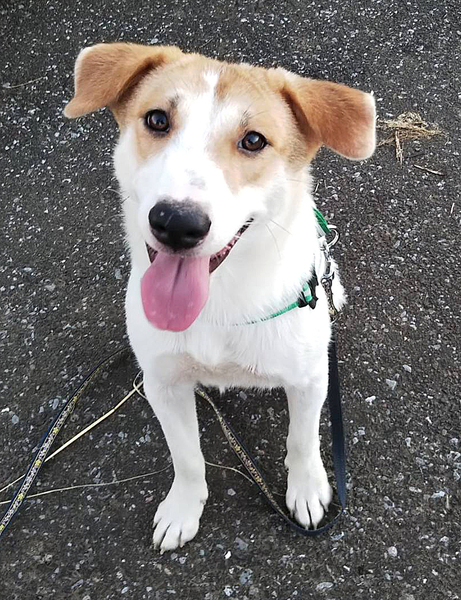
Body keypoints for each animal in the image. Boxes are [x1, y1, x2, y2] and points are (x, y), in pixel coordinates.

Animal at [64, 43, 375, 553]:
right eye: (156, 119)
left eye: (253, 140)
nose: (176, 223)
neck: (220, 303)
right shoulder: (163, 383)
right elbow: (187, 458)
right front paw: (183, 509)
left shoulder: (309, 379)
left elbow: (303, 441)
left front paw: (308, 489)